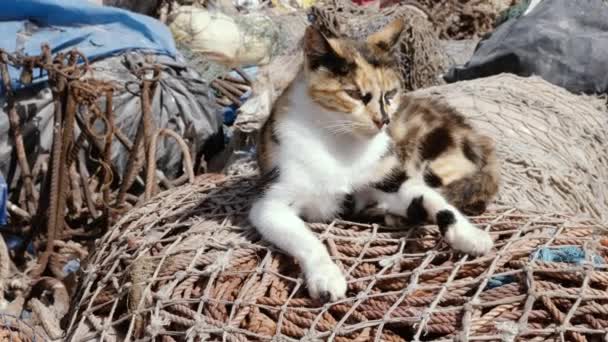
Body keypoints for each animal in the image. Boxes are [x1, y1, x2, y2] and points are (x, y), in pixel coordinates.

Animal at [247, 18, 498, 302]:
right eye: (354, 94)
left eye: (389, 94)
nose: (383, 121)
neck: (340, 144)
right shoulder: (269, 206)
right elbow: (306, 239)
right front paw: (326, 277)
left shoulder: (389, 180)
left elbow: (437, 202)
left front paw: (470, 235)